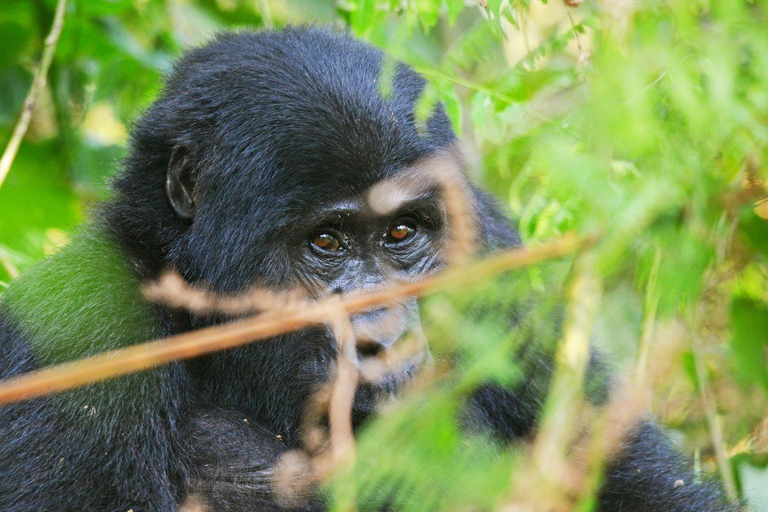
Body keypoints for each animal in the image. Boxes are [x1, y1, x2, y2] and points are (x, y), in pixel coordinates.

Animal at [0, 27, 736, 512]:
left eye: (402, 232)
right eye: (325, 243)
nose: (383, 338)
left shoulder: (491, 266)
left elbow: (631, 476)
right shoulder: (84, 336)